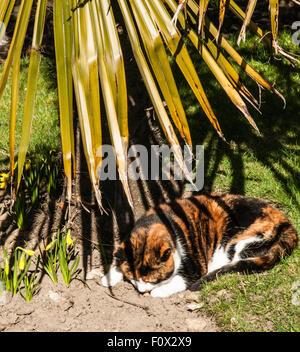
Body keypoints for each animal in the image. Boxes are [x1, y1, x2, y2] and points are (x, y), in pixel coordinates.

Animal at [102, 192, 298, 296]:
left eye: (154, 280)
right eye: (133, 278)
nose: (142, 291)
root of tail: (287, 223)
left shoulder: (194, 265)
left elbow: (183, 279)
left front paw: (159, 291)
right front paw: (109, 276)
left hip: (240, 241)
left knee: (235, 262)